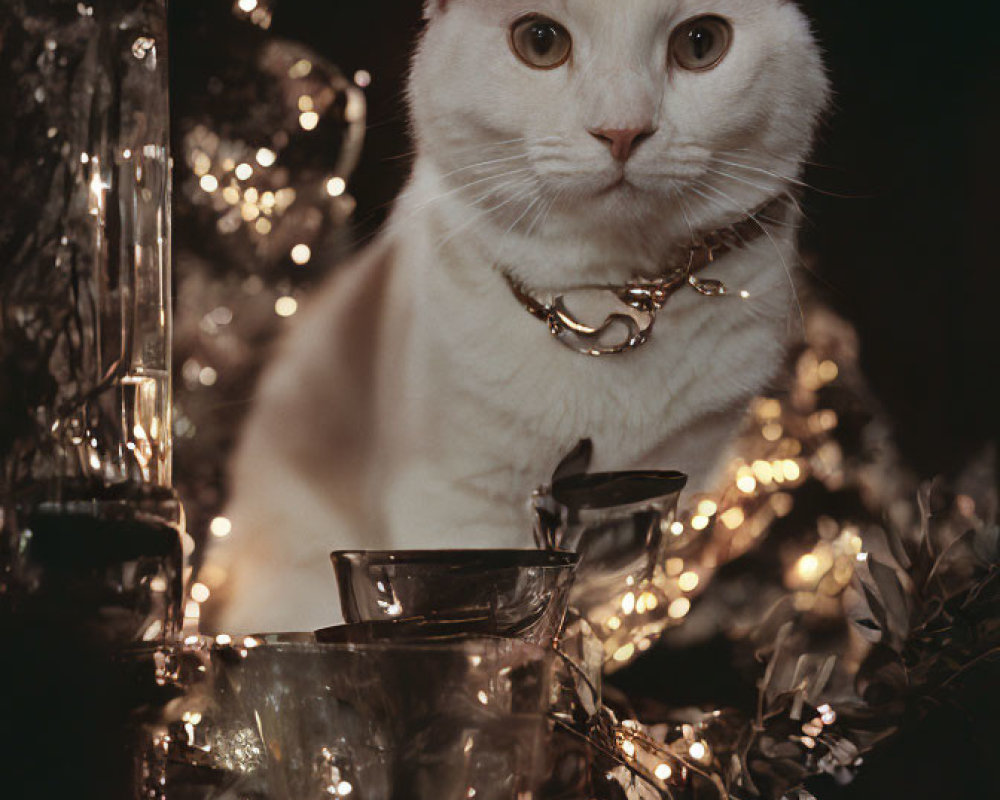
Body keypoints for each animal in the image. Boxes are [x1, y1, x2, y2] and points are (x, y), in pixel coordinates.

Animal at [215, 3, 832, 636]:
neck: (608, 308)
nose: (623, 130)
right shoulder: (454, 501)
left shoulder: (676, 480)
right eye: (541, 42)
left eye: (701, 43)